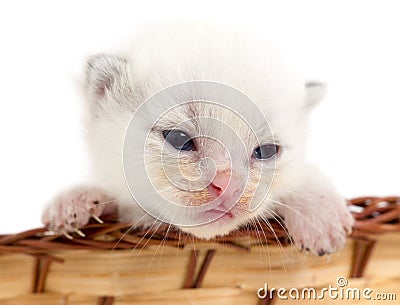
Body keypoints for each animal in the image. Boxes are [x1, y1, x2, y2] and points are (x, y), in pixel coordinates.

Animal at [41, 22, 354, 254]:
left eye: (266, 151)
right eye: (179, 139)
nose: (228, 186)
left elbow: (306, 178)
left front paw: (320, 218)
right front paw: (76, 200)